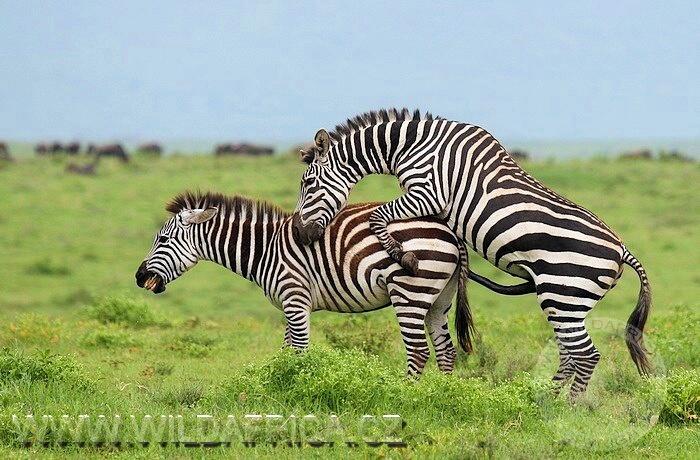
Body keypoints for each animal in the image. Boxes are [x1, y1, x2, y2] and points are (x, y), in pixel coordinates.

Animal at [135, 191, 482, 378]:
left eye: (162, 239)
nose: (138, 277)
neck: (265, 249)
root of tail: (450, 230)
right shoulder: (291, 305)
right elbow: (286, 350)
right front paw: (280, 385)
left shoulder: (295, 298)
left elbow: (299, 351)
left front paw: (297, 390)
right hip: (439, 297)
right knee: (445, 350)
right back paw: (441, 395)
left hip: (410, 292)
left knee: (419, 351)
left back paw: (405, 394)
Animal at [290, 108, 652, 398]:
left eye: (308, 183)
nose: (300, 233)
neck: (411, 146)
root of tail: (622, 250)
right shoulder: (431, 205)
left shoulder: (428, 193)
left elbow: (376, 216)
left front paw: (401, 254)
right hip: (567, 303)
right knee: (569, 355)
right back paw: (544, 399)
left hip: (564, 296)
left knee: (586, 356)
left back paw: (569, 409)